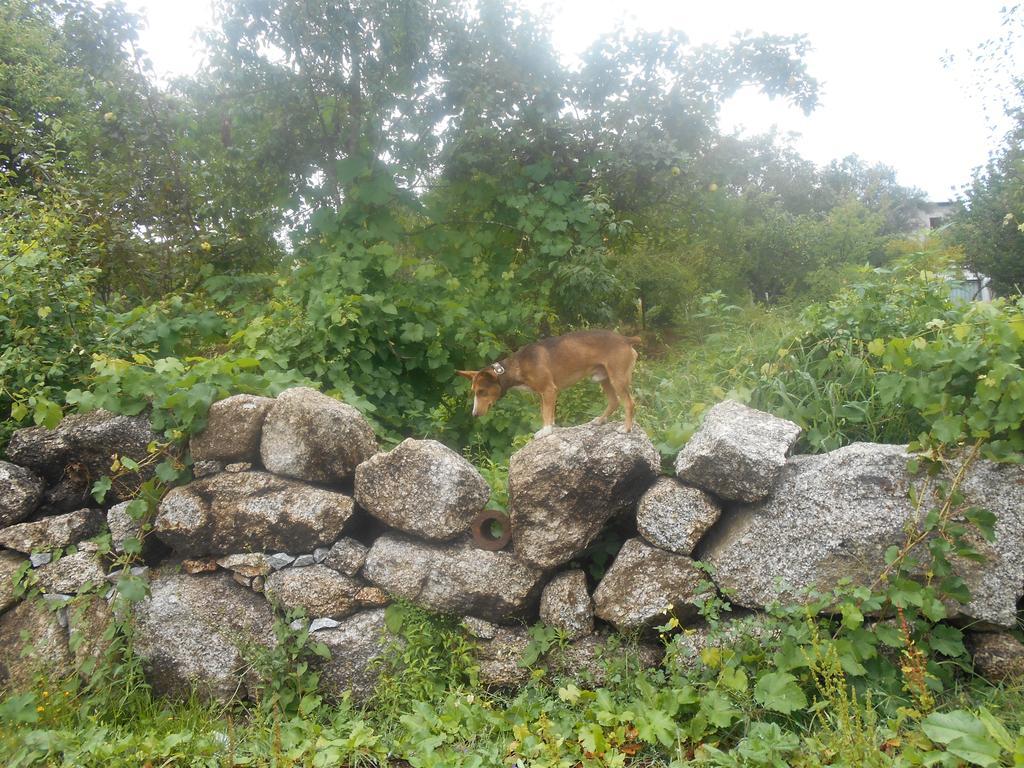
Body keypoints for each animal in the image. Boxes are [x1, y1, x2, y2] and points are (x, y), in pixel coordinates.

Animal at [458, 331, 638, 438]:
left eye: (482, 391)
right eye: (474, 391)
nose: (474, 414)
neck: (519, 365)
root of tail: (625, 339)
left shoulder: (549, 390)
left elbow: (545, 414)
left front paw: (545, 431)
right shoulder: (542, 395)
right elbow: (547, 413)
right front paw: (551, 427)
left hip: (617, 379)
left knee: (629, 403)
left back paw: (626, 429)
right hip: (604, 380)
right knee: (614, 402)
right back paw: (600, 420)